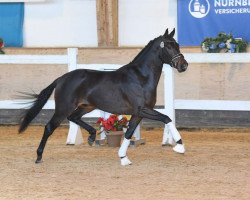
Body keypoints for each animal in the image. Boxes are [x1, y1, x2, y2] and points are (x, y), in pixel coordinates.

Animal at [19, 28, 188, 166]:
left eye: (177, 44)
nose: (184, 65)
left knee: (73, 117)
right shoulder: (143, 109)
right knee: (49, 127)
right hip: (63, 108)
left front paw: (123, 158)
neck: (140, 78)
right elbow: (167, 118)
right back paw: (39, 157)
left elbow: (128, 133)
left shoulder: (138, 113)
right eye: (168, 46)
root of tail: (61, 78)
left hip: (87, 106)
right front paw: (180, 147)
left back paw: (92, 137)